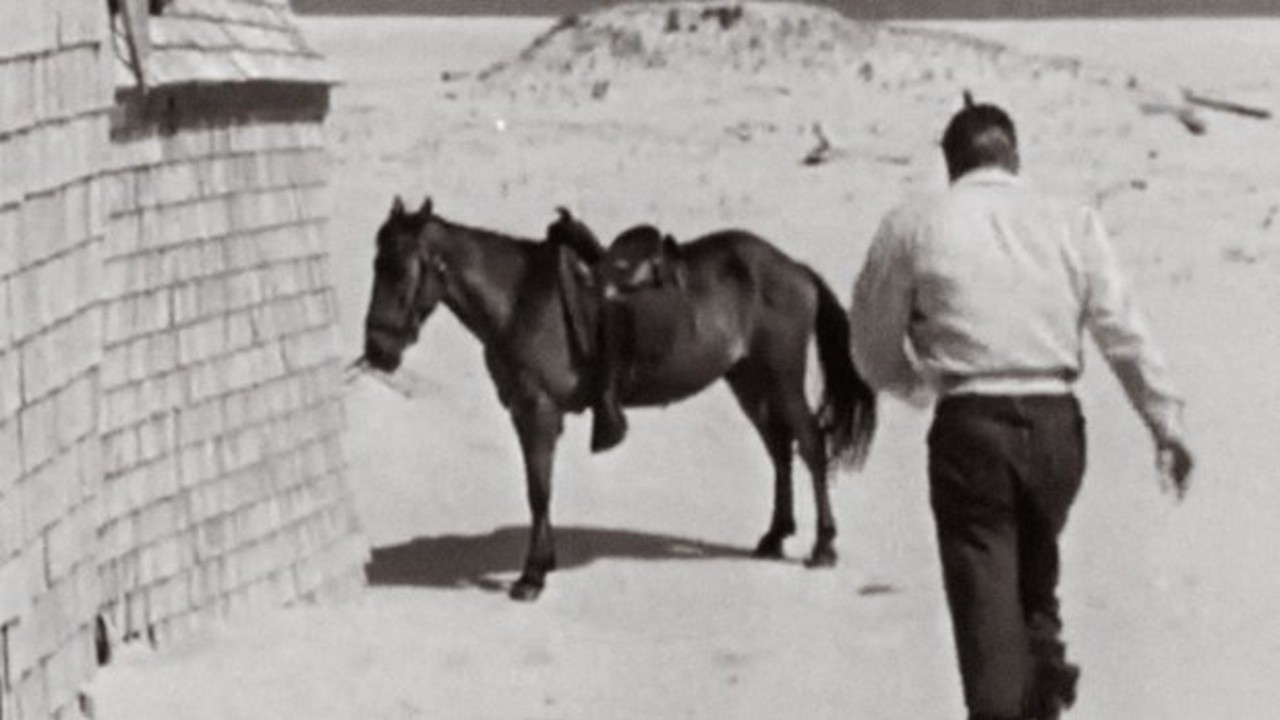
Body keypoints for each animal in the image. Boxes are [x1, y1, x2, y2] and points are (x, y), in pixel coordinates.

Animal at [363, 196, 880, 599]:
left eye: (398, 270)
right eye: (376, 266)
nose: (377, 350)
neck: (519, 298)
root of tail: (795, 268)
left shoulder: (537, 412)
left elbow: (538, 490)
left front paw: (532, 576)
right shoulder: (527, 413)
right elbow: (540, 489)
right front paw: (544, 562)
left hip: (782, 378)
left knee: (810, 446)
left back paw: (823, 546)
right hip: (748, 381)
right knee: (779, 449)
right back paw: (775, 536)